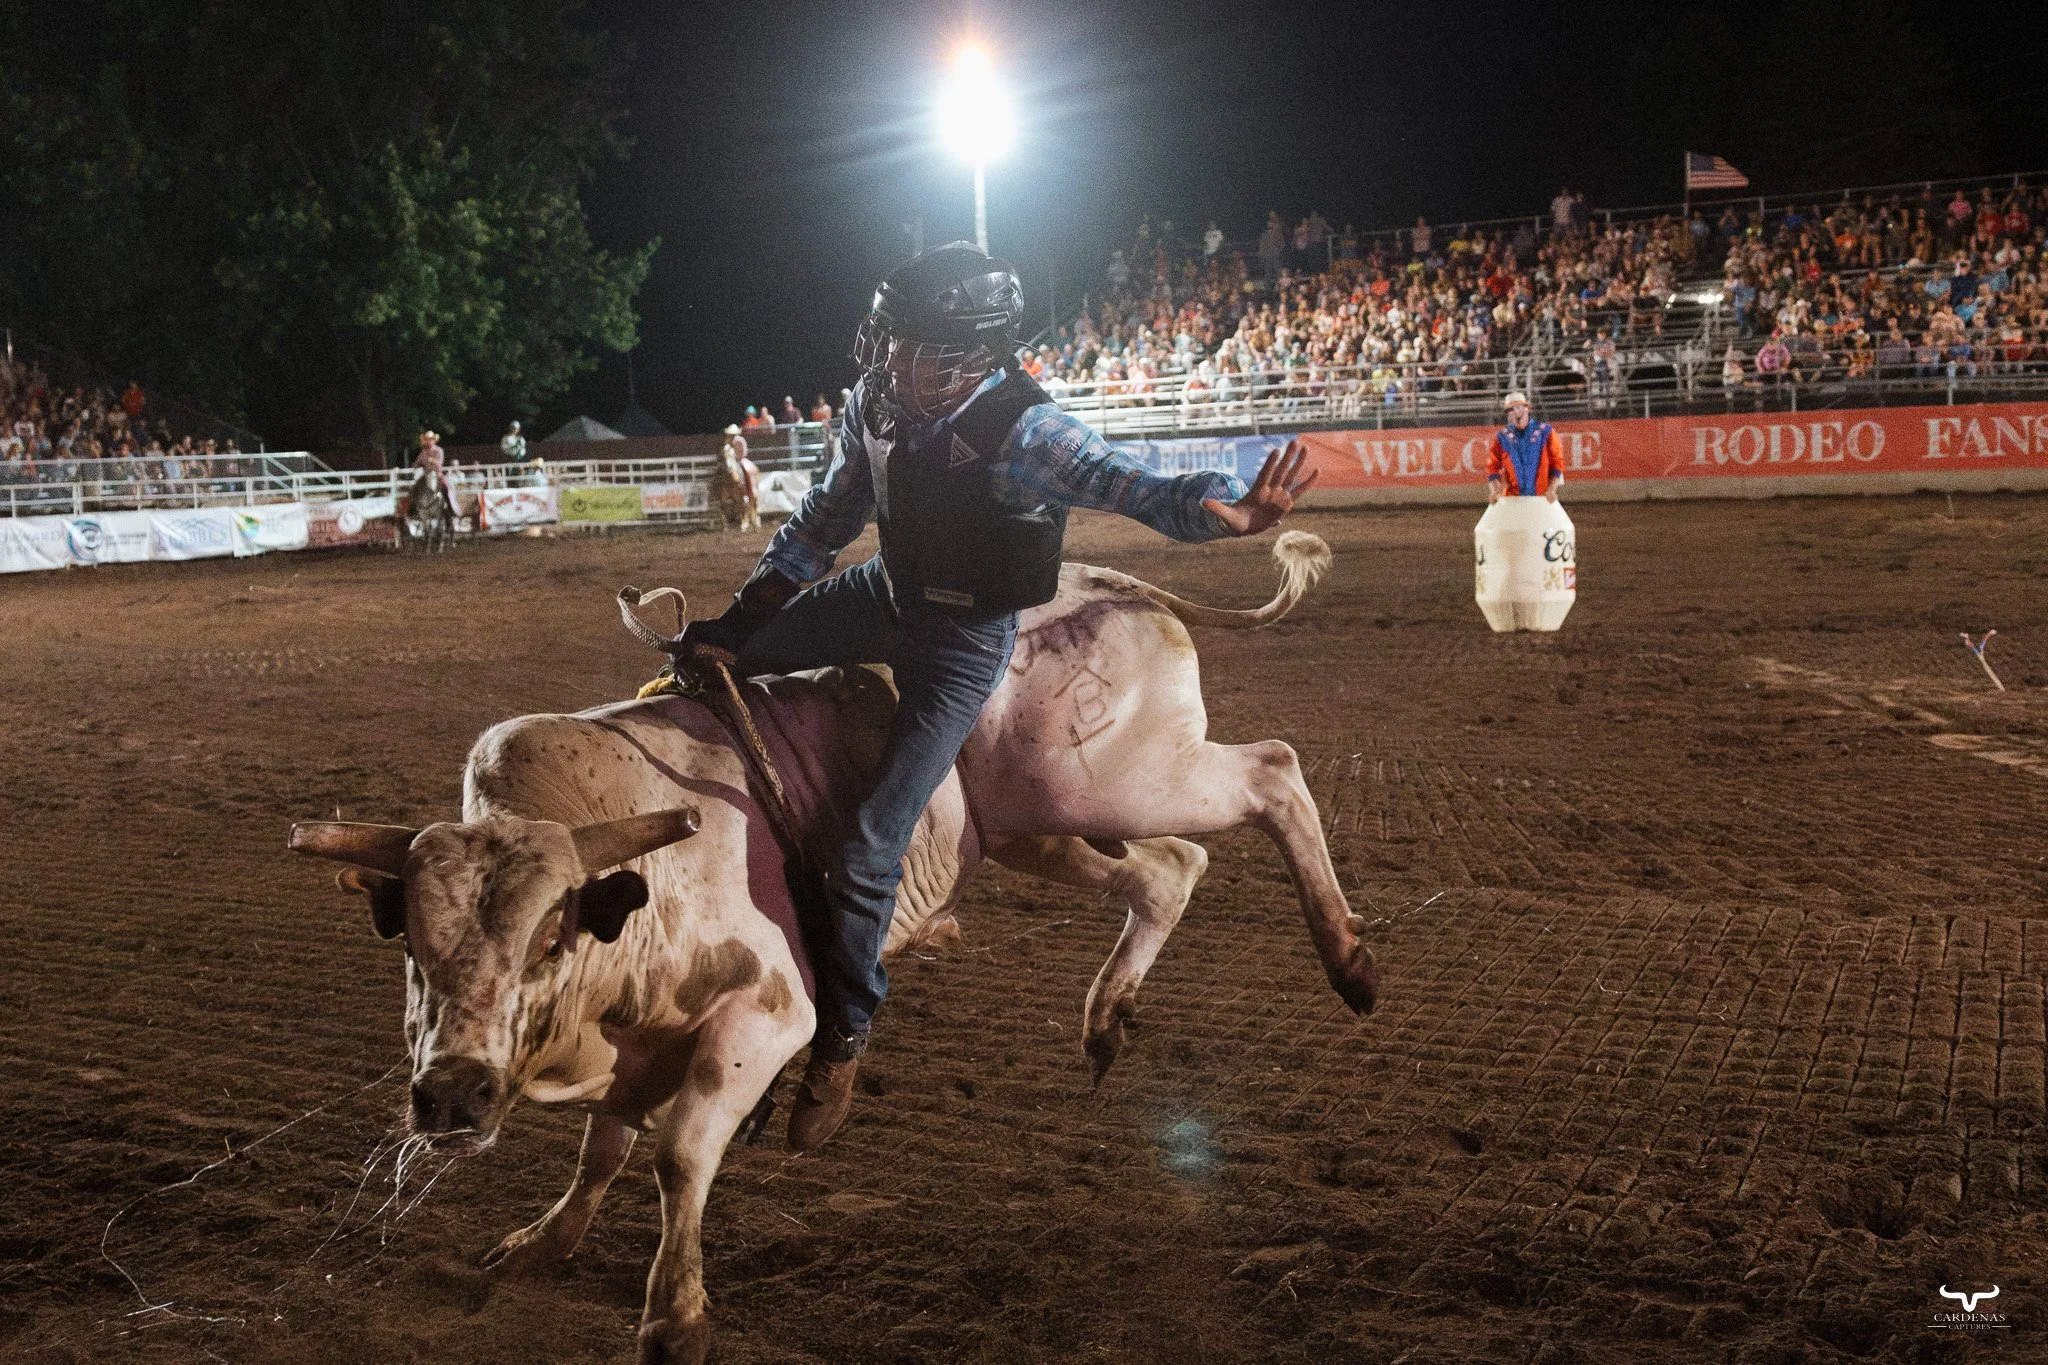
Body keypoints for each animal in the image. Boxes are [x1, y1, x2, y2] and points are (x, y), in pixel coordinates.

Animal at [288, 529, 1373, 1364]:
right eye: (406, 936)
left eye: (552, 932)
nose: (453, 1096)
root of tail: (1116, 583)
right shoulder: (634, 1048)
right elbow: (604, 1148)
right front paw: (540, 1242)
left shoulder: (767, 1017)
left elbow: (677, 1154)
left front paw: (674, 1318)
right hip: (1044, 822)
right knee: (1169, 871)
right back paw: (1107, 1020)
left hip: (1125, 777)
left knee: (1272, 773)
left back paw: (1349, 962)